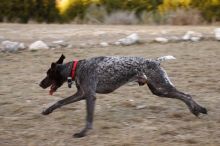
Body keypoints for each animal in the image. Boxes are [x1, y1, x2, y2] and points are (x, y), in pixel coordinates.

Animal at [39, 54, 206, 137]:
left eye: (48, 74)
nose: (40, 84)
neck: (77, 68)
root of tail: (155, 61)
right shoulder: (82, 94)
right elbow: (60, 102)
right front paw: (47, 110)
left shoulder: (90, 96)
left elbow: (88, 119)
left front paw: (83, 133)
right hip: (159, 90)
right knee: (184, 96)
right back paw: (198, 110)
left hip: (162, 86)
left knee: (187, 95)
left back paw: (198, 109)